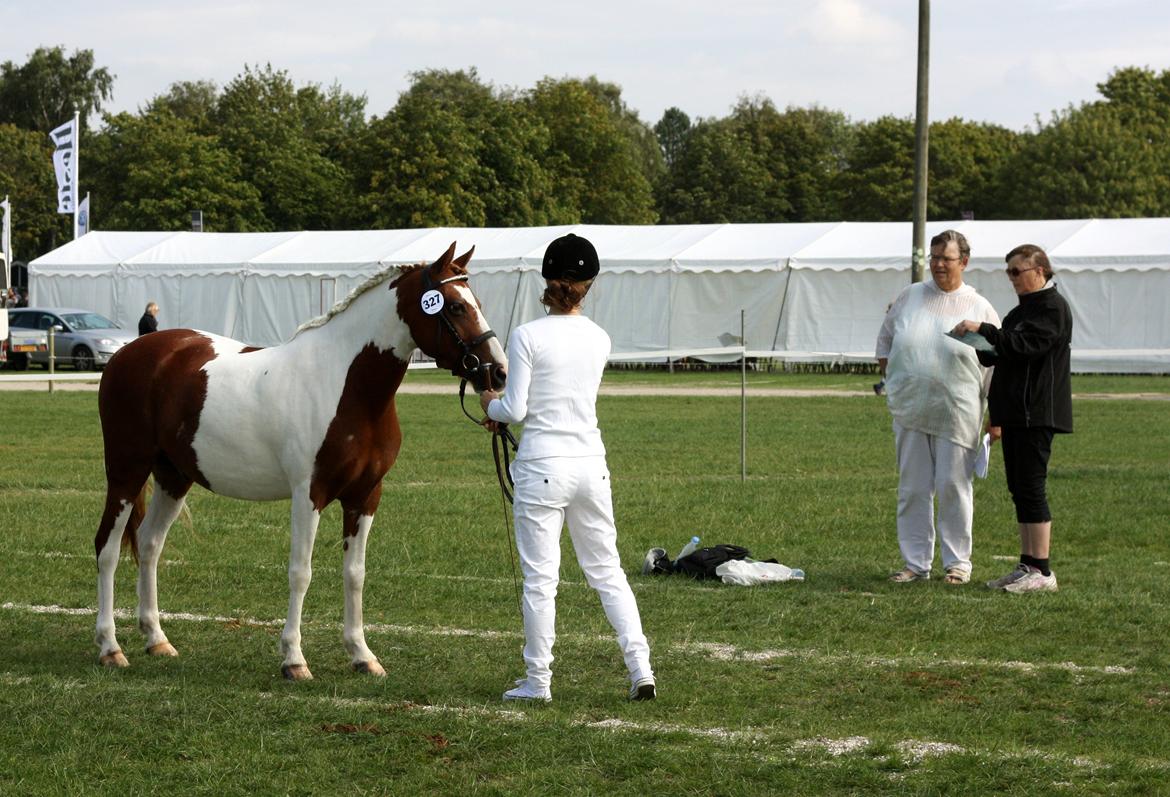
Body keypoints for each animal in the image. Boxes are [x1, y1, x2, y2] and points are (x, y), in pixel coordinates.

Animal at [93, 242, 505, 678]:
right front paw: (294, 658)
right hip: (126, 471)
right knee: (108, 547)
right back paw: (109, 647)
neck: (347, 386)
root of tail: (128, 353)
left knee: (150, 544)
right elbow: (300, 572)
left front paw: (362, 654)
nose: (498, 372)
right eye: (456, 307)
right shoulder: (309, 494)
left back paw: (157, 639)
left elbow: (355, 574)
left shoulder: (365, 497)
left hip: (174, 477)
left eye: (477, 303)